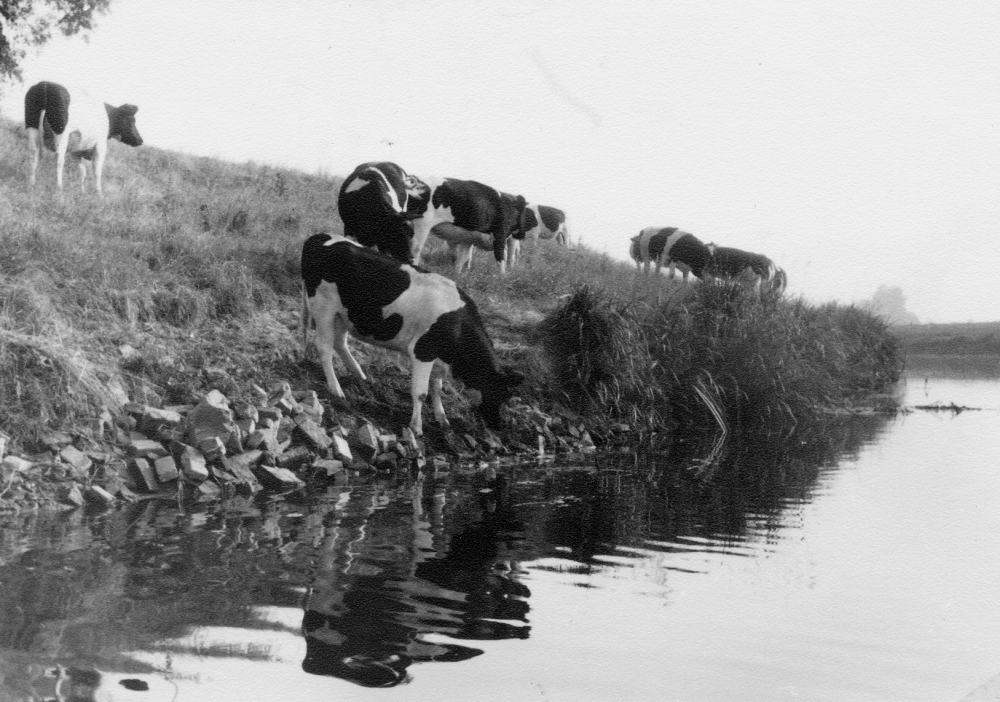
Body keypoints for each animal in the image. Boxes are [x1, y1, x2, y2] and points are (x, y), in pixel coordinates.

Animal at [300, 234, 524, 438]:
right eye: (500, 394)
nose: (499, 425)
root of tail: (317, 237)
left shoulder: (437, 357)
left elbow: (436, 388)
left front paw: (442, 419)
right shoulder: (423, 351)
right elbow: (421, 392)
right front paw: (416, 427)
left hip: (344, 315)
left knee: (339, 342)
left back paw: (360, 375)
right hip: (324, 308)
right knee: (325, 348)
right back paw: (336, 388)